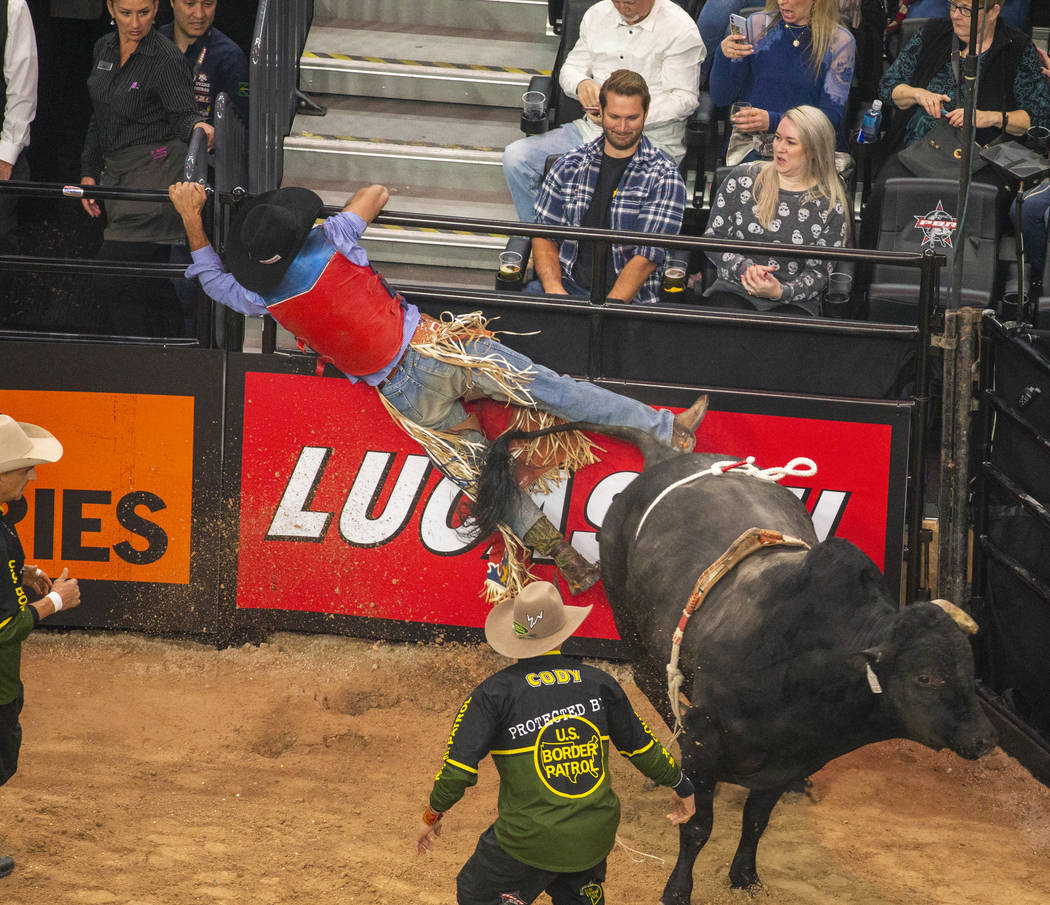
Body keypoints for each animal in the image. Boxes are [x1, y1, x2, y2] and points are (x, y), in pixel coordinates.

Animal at [472, 424, 995, 898]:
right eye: (925, 677)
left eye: (970, 671)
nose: (985, 738)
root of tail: (667, 457)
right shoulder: (706, 742)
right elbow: (697, 827)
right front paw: (677, 889)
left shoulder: (785, 759)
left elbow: (756, 819)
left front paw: (745, 874)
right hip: (628, 619)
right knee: (650, 681)